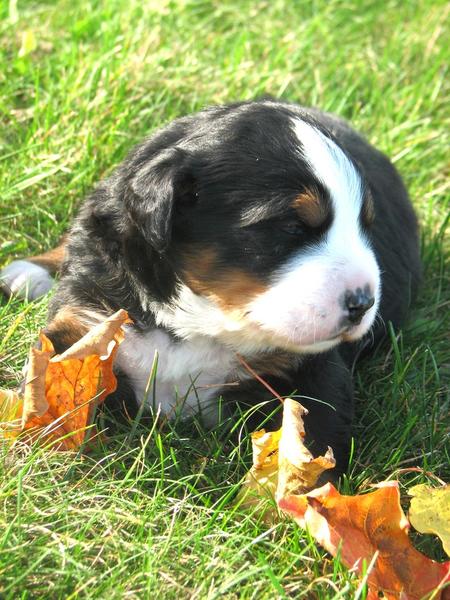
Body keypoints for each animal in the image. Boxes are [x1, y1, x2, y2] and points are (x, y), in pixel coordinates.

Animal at [0, 99, 422, 474]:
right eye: (292, 226)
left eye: (365, 226)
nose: (363, 302)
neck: (200, 322)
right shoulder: (86, 324)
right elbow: (43, 393)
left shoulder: (314, 370)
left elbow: (312, 450)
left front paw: (306, 504)